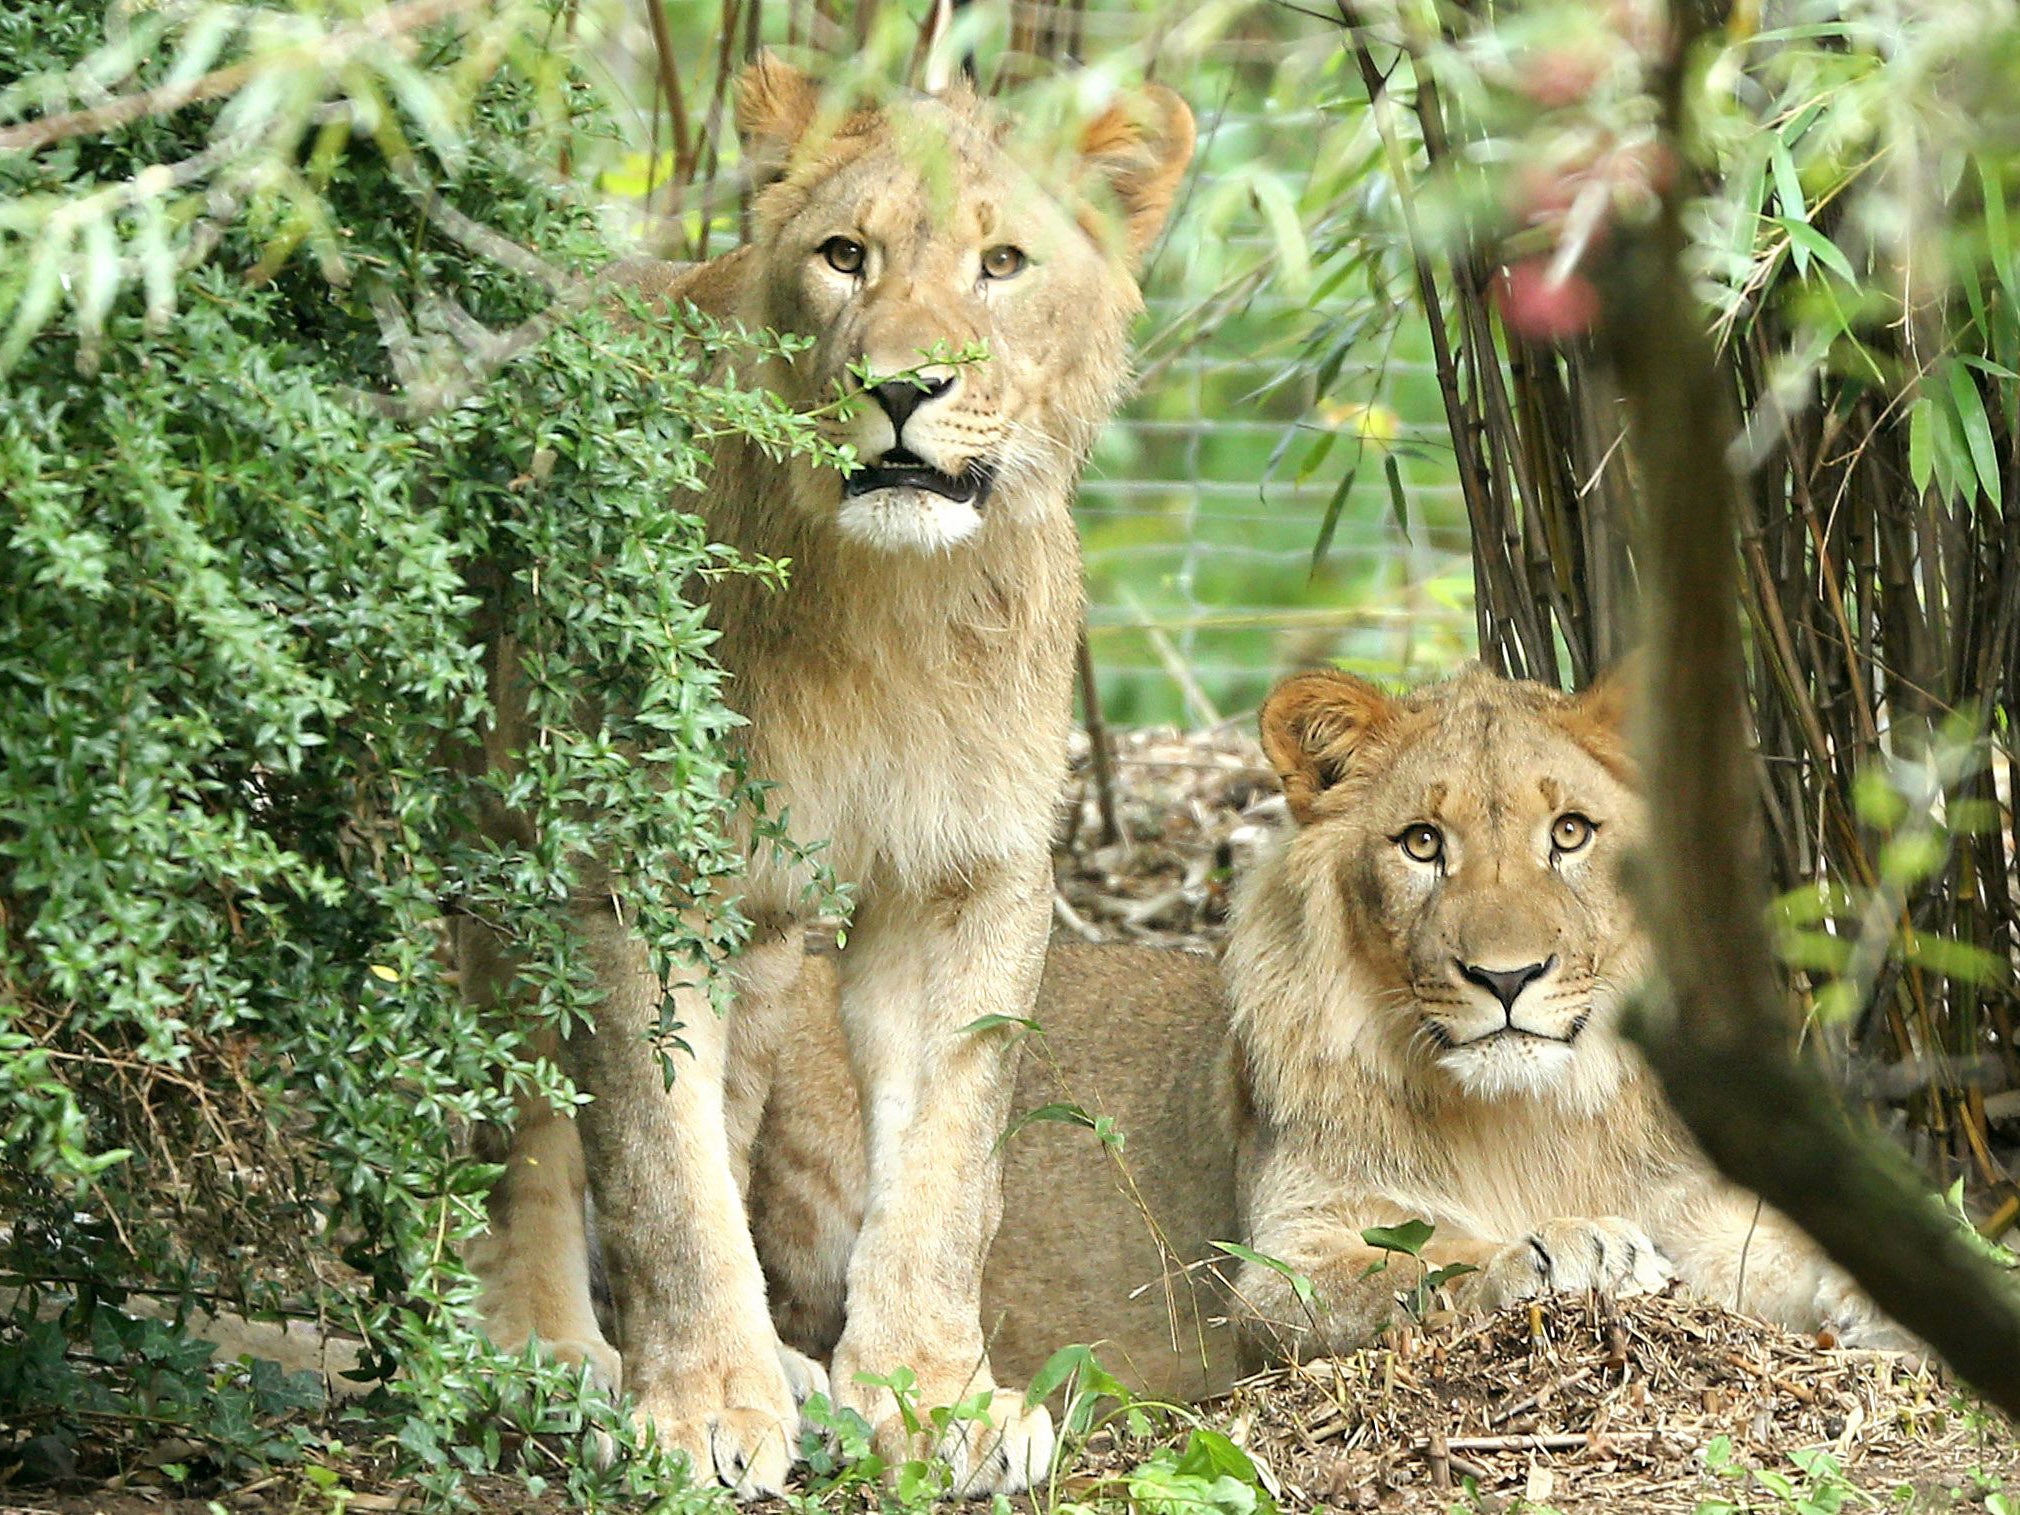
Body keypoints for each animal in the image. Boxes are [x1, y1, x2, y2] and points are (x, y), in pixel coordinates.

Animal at [751, 670, 1898, 1405]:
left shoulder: (1709, 1205)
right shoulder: (1281, 1268)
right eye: (1422, 844)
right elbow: (1425, 1264)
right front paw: (1567, 1245)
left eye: (1569, 833)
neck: (1533, 1114)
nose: (1507, 978)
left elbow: (1795, 1255)